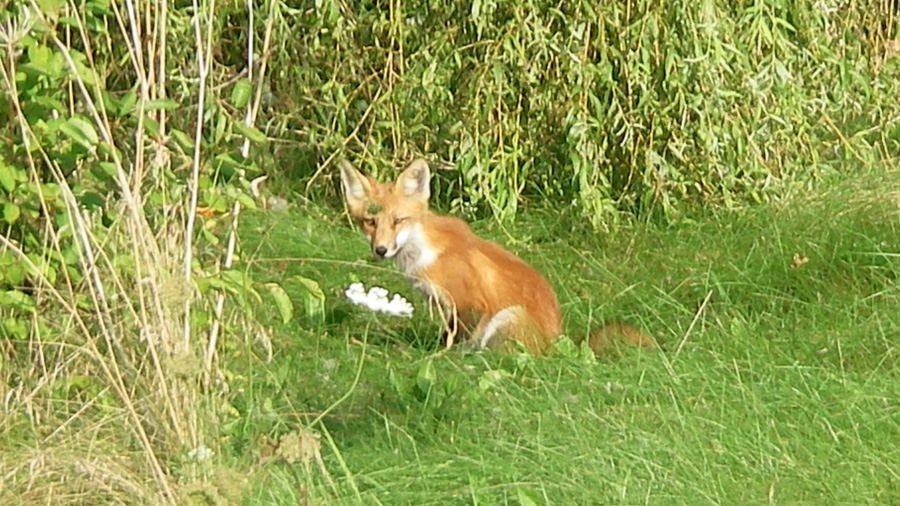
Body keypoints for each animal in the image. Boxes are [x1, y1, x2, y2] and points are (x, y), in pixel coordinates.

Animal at [338, 158, 652, 356]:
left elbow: (453, 342)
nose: (380, 250)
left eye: (398, 221)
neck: (423, 251)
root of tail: (559, 346)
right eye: (370, 222)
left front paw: (435, 360)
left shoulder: (469, 304)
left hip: (509, 317)